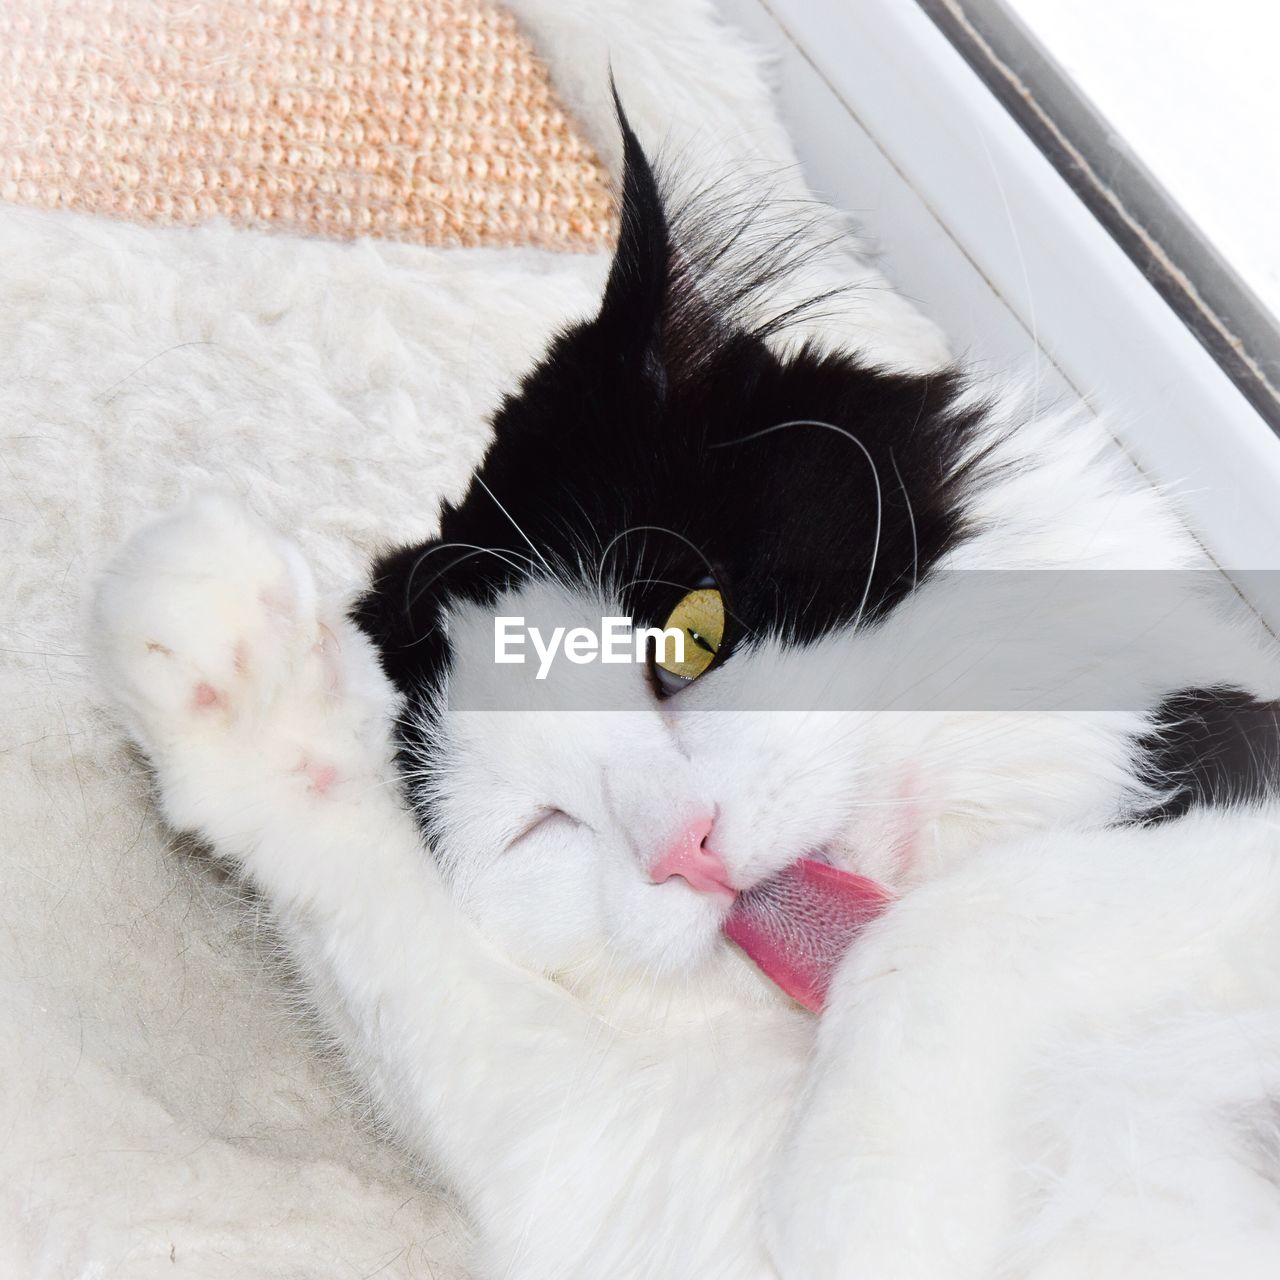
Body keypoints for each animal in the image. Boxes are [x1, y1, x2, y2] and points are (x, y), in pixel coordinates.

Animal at [94, 110, 1280, 1280]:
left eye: (692, 635)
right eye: (539, 826)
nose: (685, 846)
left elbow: (936, 942)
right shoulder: (656, 1176)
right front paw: (240, 669)